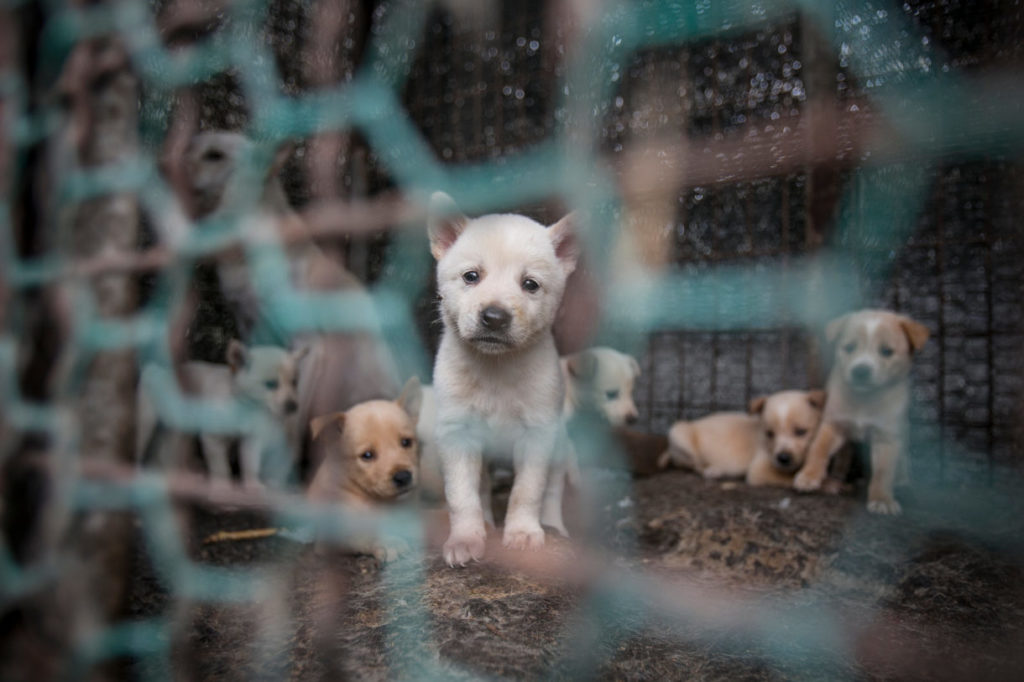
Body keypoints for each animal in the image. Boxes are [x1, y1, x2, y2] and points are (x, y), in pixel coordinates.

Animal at [428, 189, 581, 561]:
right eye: (471, 276)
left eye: (530, 284)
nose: (494, 317)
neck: (496, 369)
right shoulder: (457, 434)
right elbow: (462, 496)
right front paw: (466, 538)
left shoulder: (538, 434)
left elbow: (527, 491)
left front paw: (524, 533)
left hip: (560, 444)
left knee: (553, 490)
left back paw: (554, 526)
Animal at [659, 387, 827, 483]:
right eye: (769, 434)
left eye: (801, 431)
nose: (783, 459)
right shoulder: (759, 470)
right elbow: (788, 478)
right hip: (679, 434)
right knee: (692, 465)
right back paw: (712, 470)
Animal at [794, 307, 933, 509]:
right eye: (849, 347)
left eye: (886, 351)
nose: (860, 371)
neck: (864, 400)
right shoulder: (834, 424)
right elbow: (818, 449)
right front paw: (808, 476)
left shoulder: (887, 437)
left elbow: (883, 472)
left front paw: (882, 499)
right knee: (843, 458)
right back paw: (837, 478)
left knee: (903, 460)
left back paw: (902, 481)